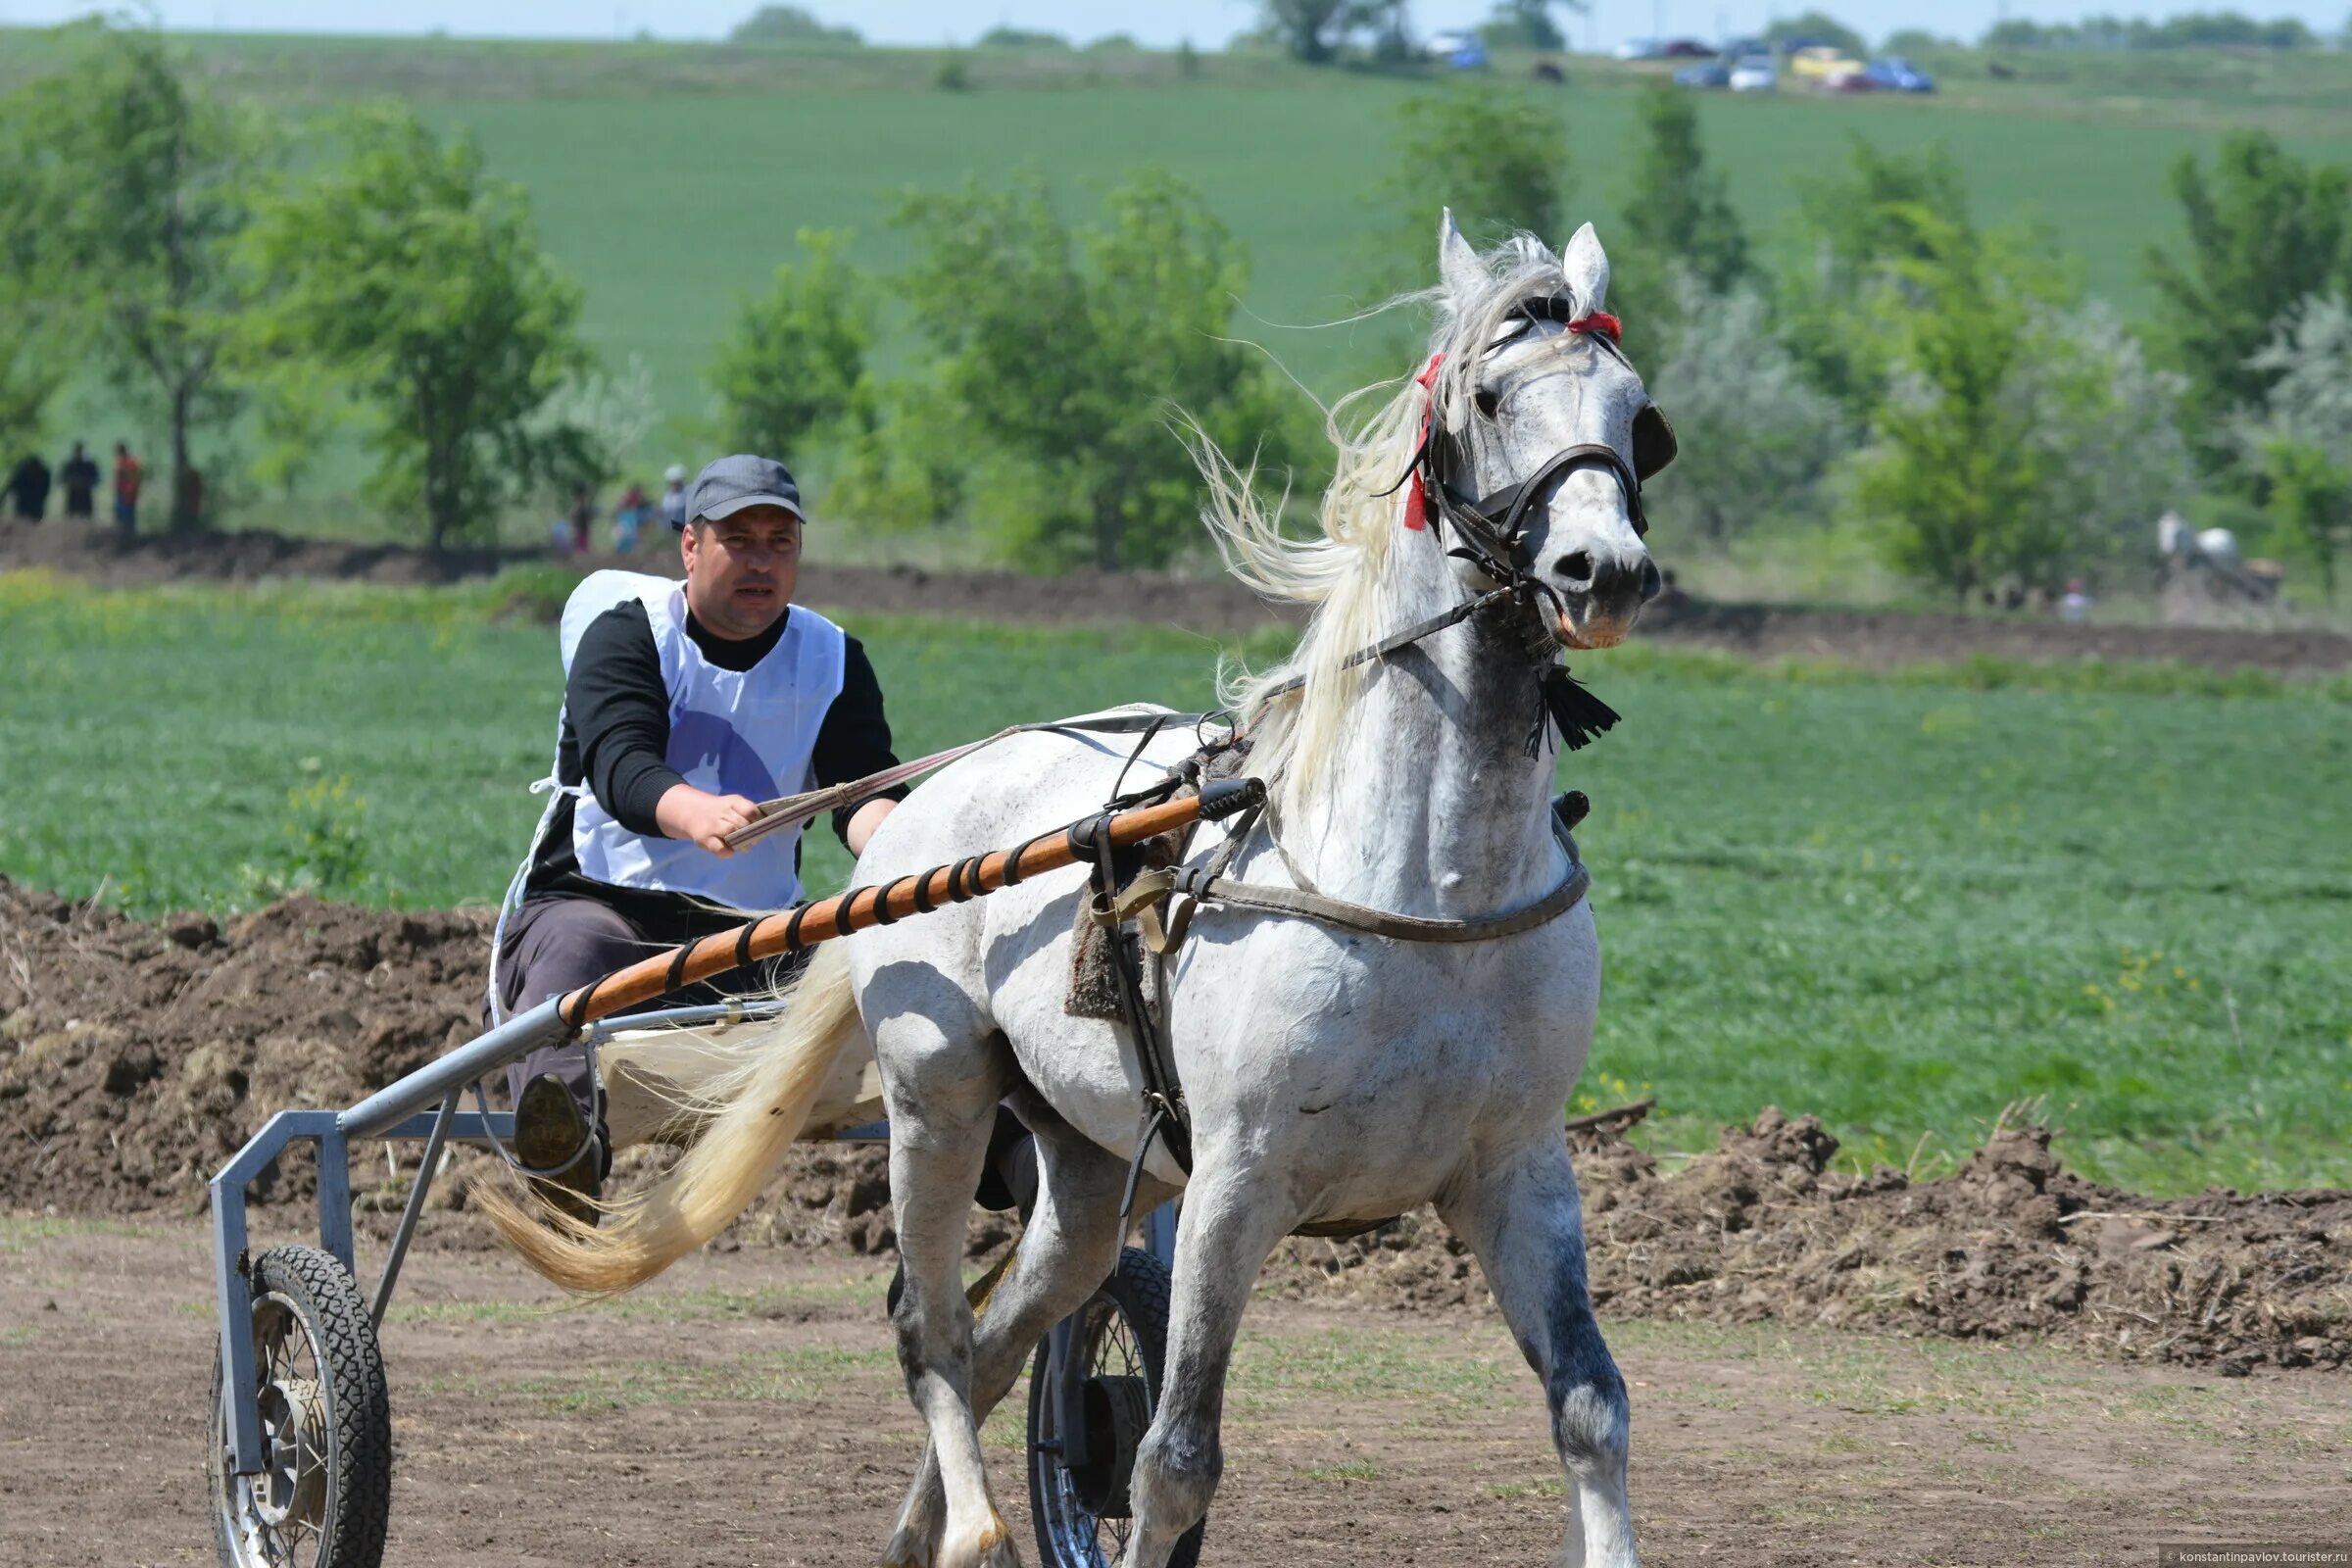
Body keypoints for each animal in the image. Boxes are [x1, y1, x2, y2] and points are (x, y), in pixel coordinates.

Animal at [494, 217, 1665, 1568]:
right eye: (1487, 395)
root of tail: (925, 812)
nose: (1603, 570)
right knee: (931, 1329)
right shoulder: (1237, 1181)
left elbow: (1592, 1409)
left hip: (1092, 1163)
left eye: (1637, 412)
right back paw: (968, 1528)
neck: (1429, 888)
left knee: (1006, 1334)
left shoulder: (1518, 1171)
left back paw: (921, 1532)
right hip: (939, 1099)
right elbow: (1174, 1456)